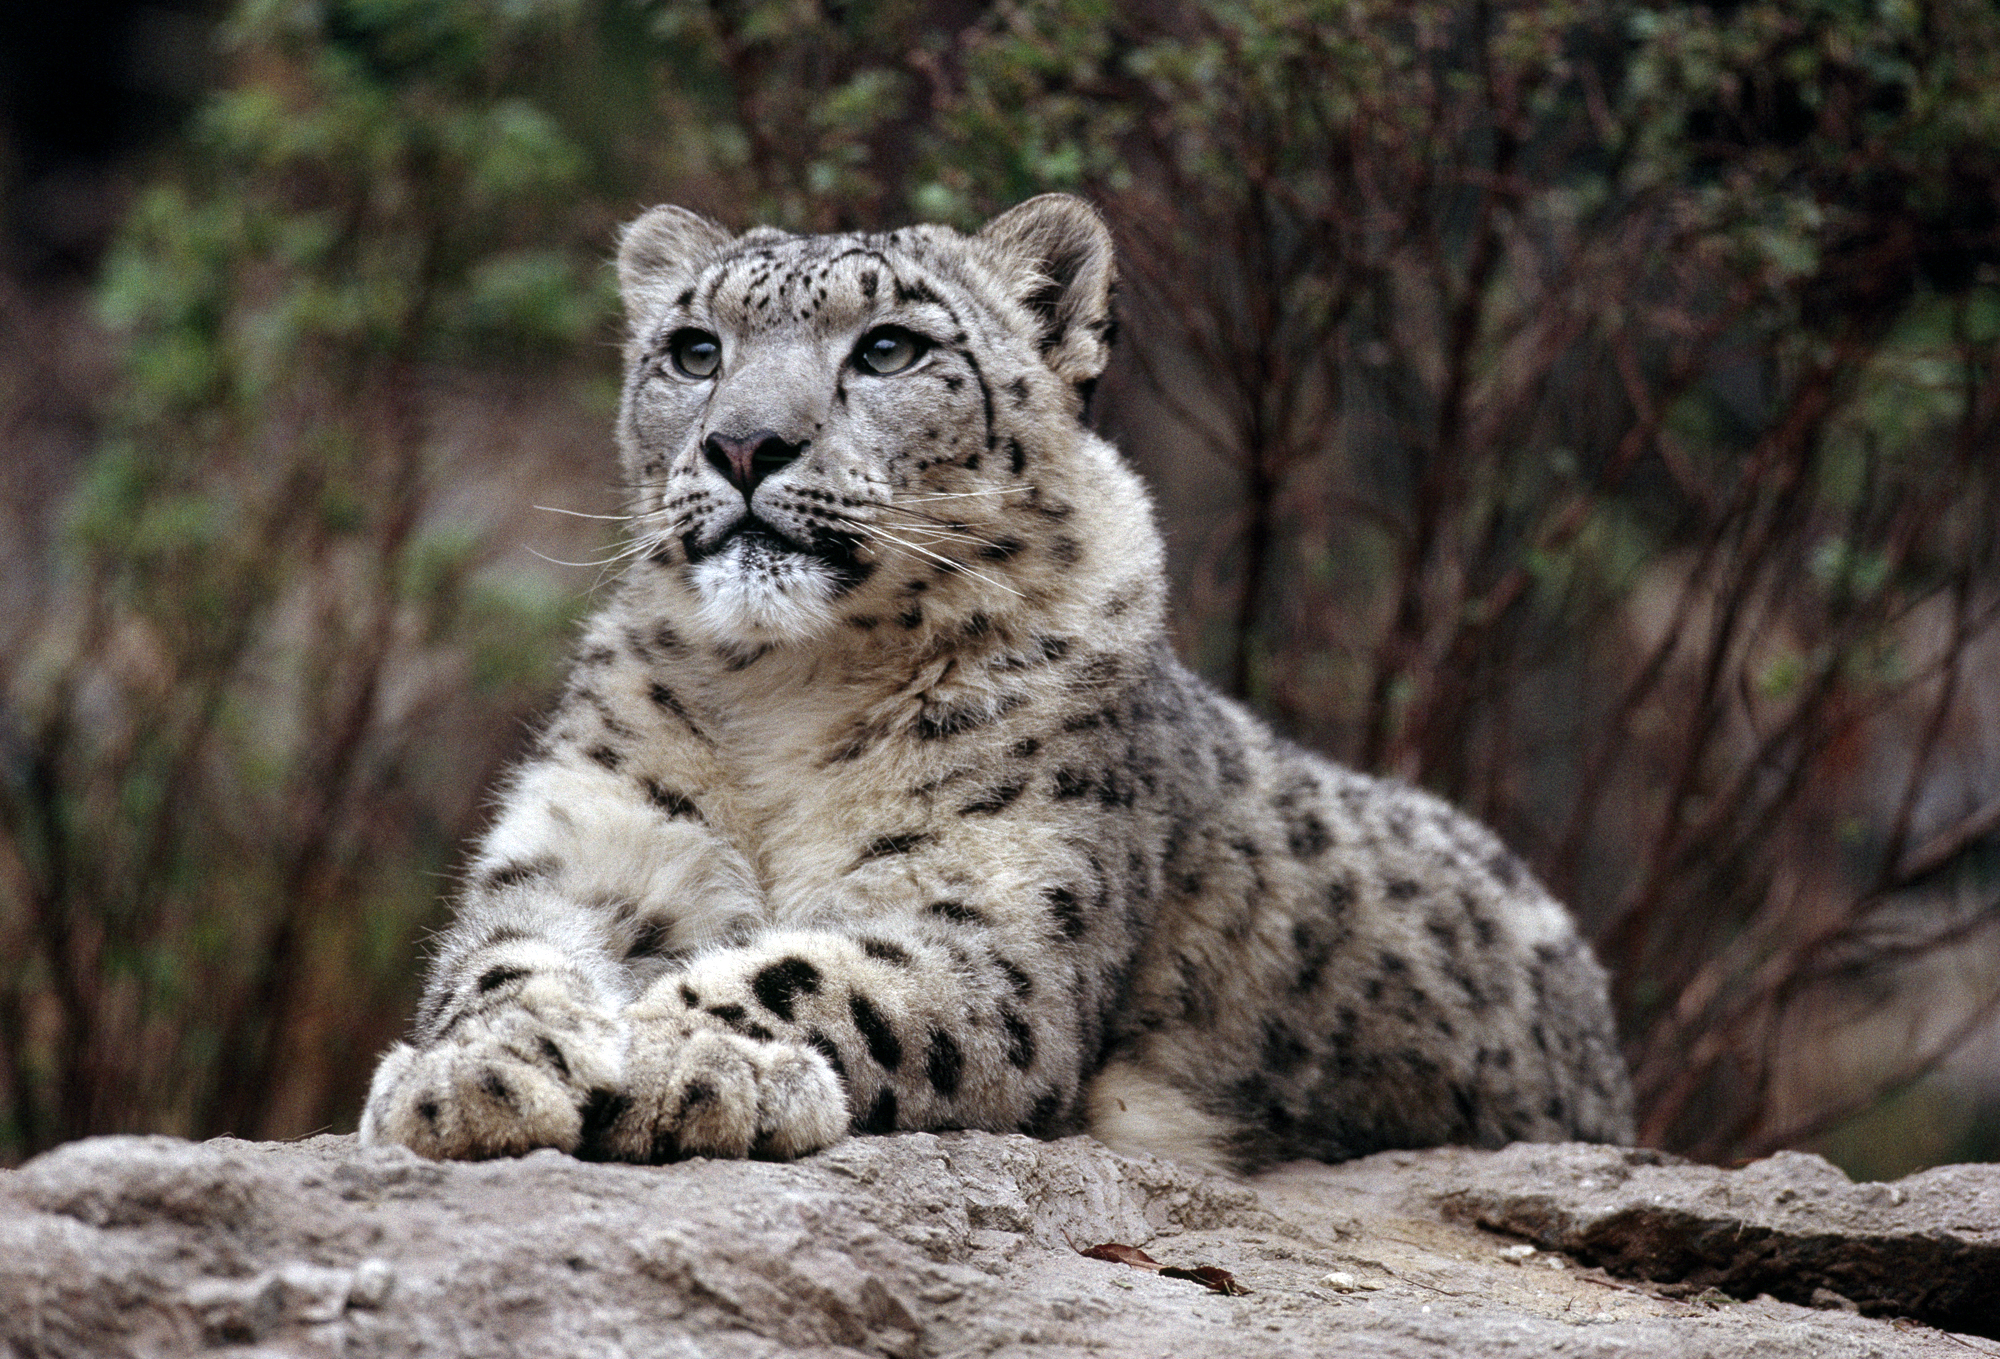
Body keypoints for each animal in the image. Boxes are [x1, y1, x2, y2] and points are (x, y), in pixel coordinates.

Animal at [360, 193, 1632, 1175]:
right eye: (693, 351)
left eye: (887, 348)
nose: (743, 445)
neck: (787, 690)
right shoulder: (592, 846)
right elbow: (501, 959)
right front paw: (473, 1074)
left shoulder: (994, 920)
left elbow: (820, 973)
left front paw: (696, 1060)